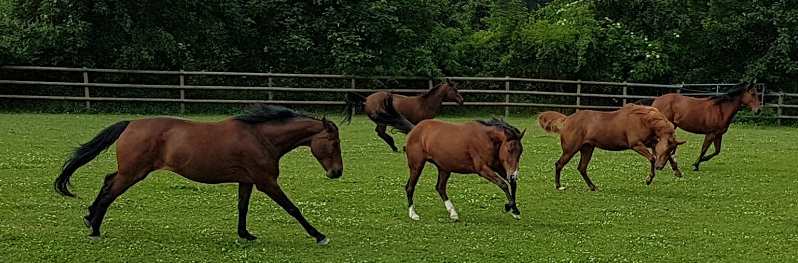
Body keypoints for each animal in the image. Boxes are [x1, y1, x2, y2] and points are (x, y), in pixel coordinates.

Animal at [55, 105, 344, 248]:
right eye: (334, 142)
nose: (337, 172)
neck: (260, 137)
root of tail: (131, 124)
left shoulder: (247, 180)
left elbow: (242, 207)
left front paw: (245, 234)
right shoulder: (266, 182)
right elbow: (292, 208)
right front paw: (319, 236)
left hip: (130, 171)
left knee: (107, 181)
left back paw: (89, 217)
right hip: (133, 173)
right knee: (109, 192)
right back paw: (95, 228)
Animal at [374, 95, 528, 221]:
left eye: (520, 152)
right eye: (509, 150)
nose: (514, 174)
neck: (486, 139)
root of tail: (414, 129)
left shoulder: (498, 166)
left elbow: (512, 184)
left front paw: (515, 210)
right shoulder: (483, 169)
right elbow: (503, 184)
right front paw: (509, 207)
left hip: (444, 168)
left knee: (440, 188)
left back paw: (453, 213)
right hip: (417, 166)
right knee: (410, 187)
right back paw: (413, 214)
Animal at [536, 104, 688, 192]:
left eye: (671, 150)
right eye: (667, 148)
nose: (659, 167)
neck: (644, 119)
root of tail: (567, 119)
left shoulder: (651, 143)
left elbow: (662, 157)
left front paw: (677, 172)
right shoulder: (636, 144)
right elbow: (652, 158)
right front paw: (649, 179)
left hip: (587, 148)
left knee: (582, 168)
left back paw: (594, 187)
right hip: (570, 150)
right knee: (559, 164)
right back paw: (558, 186)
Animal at [636, 80, 764, 171]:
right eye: (752, 93)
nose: (758, 110)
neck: (721, 110)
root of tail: (656, 99)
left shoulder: (718, 135)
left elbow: (717, 151)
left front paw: (701, 161)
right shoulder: (710, 134)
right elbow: (704, 149)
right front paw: (696, 164)